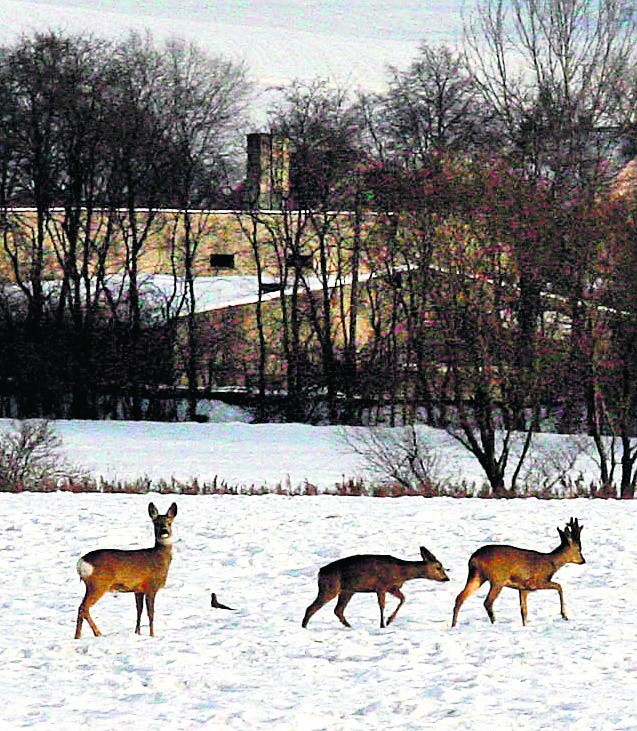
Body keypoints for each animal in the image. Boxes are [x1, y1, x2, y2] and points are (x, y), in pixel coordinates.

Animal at [74, 504, 176, 640]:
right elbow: (150, 613)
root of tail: (81, 562)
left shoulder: (138, 590)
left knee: (82, 608)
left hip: (91, 586)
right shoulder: (151, 587)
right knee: (83, 608)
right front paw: (152, 635)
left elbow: (139, 611)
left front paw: (137, 633)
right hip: (98, 585)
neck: (159, 558)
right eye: (156, 523)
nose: (164, 531)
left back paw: (78, 636)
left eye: (169, 523)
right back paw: (97, 633)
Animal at [302, 548, 448, 628]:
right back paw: (304, 627)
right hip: (330, 588)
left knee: (338, 610)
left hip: (347, 591)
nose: (446, 578)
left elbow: (403, 598)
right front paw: (383, 624)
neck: (402, 572)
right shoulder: (381, 586)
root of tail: (320, 572)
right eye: (438, 567)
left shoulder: (392, 588)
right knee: (311, 608)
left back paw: (350, 626)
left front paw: (389, 621)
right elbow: (382, 605)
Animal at [450, 516, 584, 628]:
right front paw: (564, 615)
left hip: (476, 576)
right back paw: (494, 622)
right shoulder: (536, 582)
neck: (551, 563)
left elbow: (524, 610)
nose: (583, 560)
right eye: (579, 549)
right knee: (487, 602)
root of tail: (473, 559)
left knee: (460, 597)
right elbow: (559, 586)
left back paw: (453, 625)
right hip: (498, 579)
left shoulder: (523, 588)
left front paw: (525, 626)